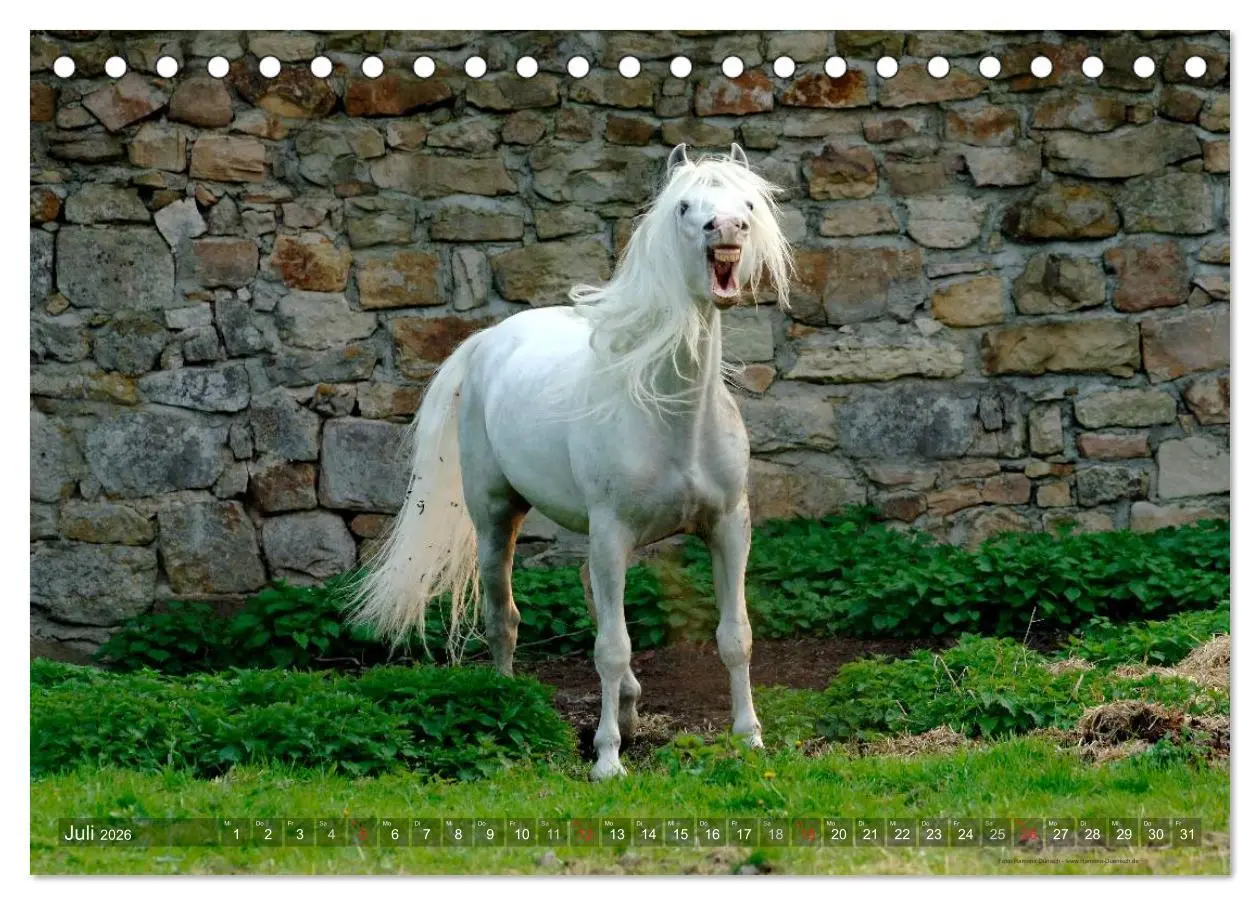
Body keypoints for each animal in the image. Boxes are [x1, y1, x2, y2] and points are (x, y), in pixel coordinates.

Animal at [351, 143, 795, 780]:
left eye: (749, 205)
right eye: (686, 206)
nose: (727, 230)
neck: (674, 417)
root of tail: (487, 341)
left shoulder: (729, 526)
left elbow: (735, 635)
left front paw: (749, 740)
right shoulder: (611, 532)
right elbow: (610, 647)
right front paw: (607, 760)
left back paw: (629, 709)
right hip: (497, 518)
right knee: (504, 617)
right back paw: (510, 702)